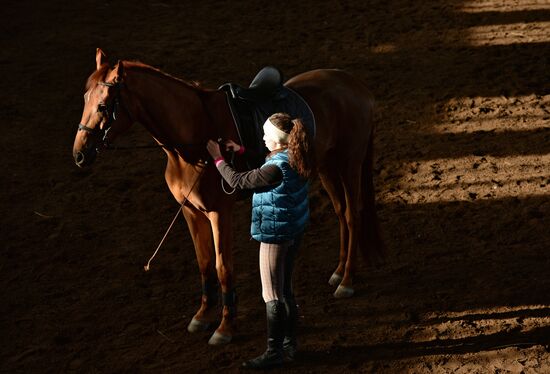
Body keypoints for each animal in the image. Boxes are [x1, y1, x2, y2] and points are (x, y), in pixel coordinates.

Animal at [72, 48, 384, 346]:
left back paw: (347, 280)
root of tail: (356, 86)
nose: (79, 154)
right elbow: (204, 264)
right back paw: (339, 271)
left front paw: (225, 328)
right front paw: (202, 316)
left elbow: (223, 268)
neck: (193, 136)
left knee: (352, 215)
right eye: (85, 99)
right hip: (326, 166)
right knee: (341, 213)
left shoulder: (219, 212)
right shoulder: (191, 211)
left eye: (103, 106)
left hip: (349, 163)